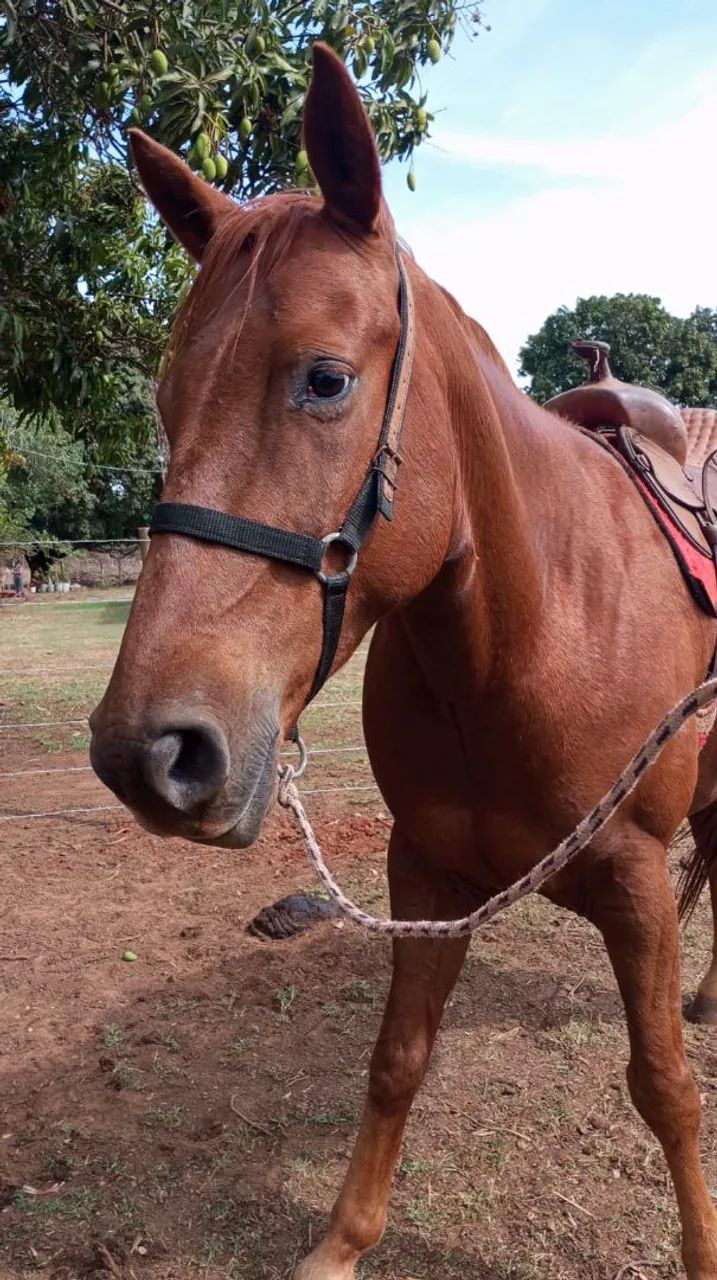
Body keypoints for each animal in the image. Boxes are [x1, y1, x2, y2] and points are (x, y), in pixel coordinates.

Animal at [89, 43, 717, 1278]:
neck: (525, 632)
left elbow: (666, 1091)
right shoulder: (425, 869)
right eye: (167, 402)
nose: (150, 752)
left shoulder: (632, 883)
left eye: (325, 379)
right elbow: (396, 1059)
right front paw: (341, 1242)